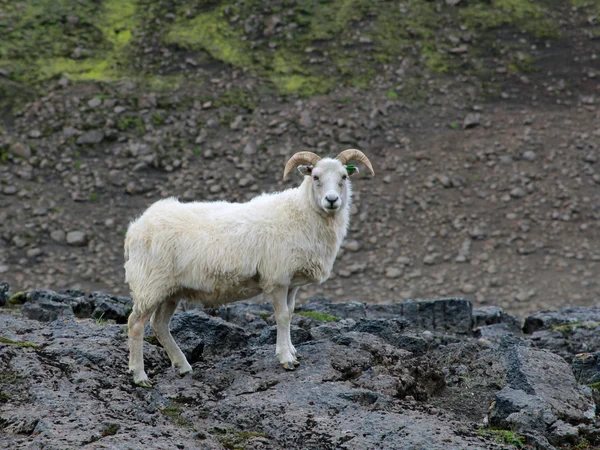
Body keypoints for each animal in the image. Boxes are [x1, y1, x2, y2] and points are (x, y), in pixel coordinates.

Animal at [124, 149, 372, 386]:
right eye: (316, 177)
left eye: (344, 176)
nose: (332, 200)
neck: (300, 213)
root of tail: (136, 226)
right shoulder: (277, 278)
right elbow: (282, 316)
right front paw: (286, 359)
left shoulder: (292, 282)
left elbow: (291, 313)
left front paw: (292, 351)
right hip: (149, 284)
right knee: (135, 324)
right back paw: (140, 376)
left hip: (171, 289)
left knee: (159, 325)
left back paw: (183, 366)